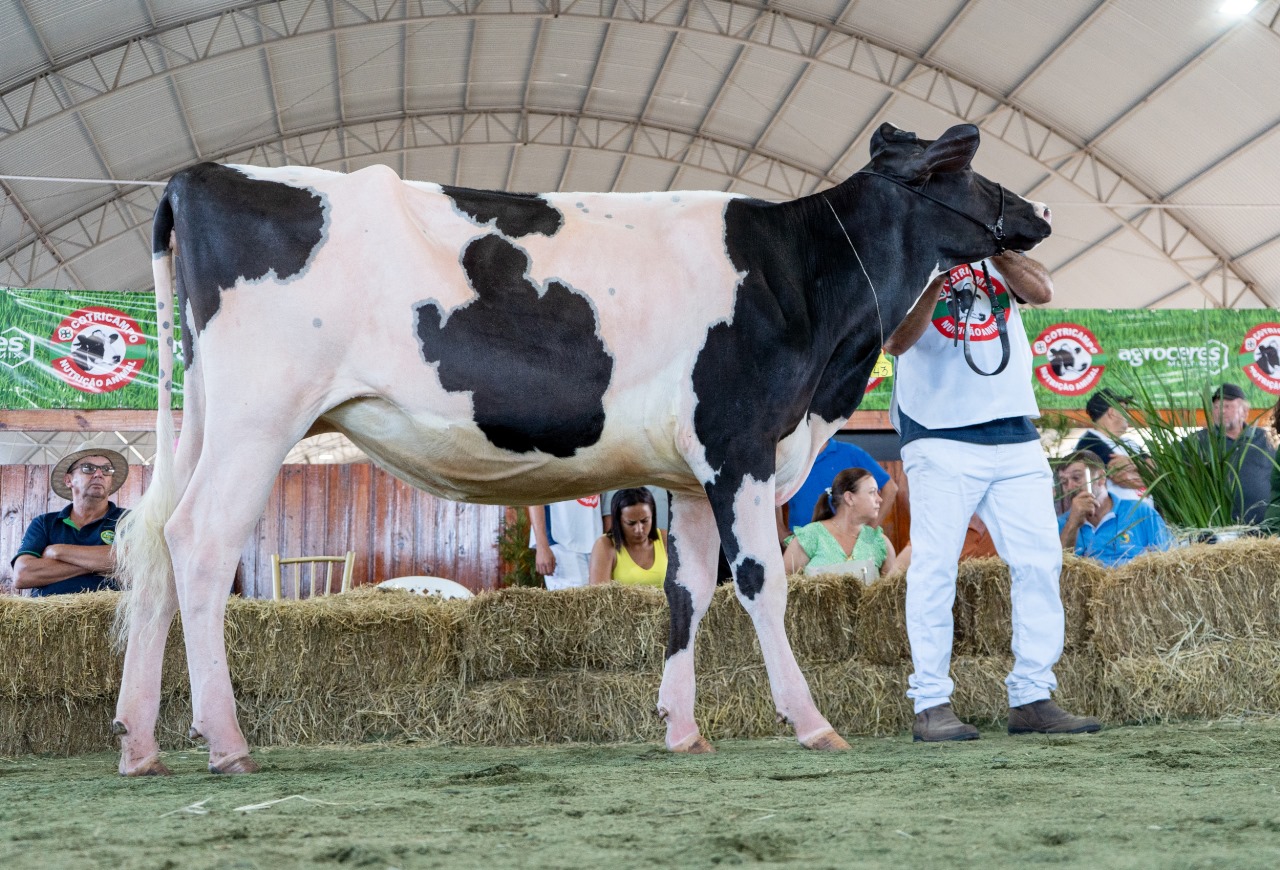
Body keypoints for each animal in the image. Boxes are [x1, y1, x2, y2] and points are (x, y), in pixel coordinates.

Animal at [112, 122, 1049, 772]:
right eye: (962, 170)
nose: (1038, 213)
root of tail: (200, 176)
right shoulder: (741, 443)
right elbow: (760, 585)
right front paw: (812, 722)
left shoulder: (690, 472)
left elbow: (686, 593)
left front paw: (683, 730)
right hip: (259, 418)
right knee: (199, 544)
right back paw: (225, 741)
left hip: (208, 420)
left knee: (157, 548)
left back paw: (139, 743)